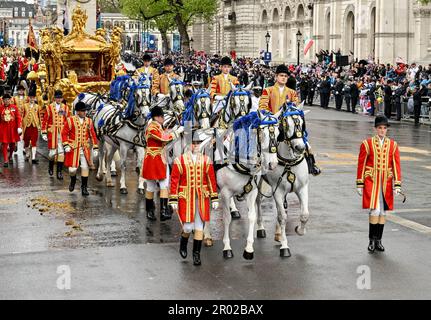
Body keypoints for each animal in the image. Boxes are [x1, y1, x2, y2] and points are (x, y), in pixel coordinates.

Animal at [216, 110, 280, 260]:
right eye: (263, 134)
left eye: (279, 133)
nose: (273, 164)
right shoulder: (225, 193)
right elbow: (226, 219)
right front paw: (227, 247)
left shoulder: (252, 192)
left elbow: (252, 216)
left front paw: (249, 248)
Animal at [256, 104, 310, 258]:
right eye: (286, 124)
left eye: (302, 123)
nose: (300, 148)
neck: (288, 162)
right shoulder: (278, 191)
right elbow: (282, 217)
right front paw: (284, 246)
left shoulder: (302, 188)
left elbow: (305, 214)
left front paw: (299, 230)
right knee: (258, 201)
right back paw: (262, 228)